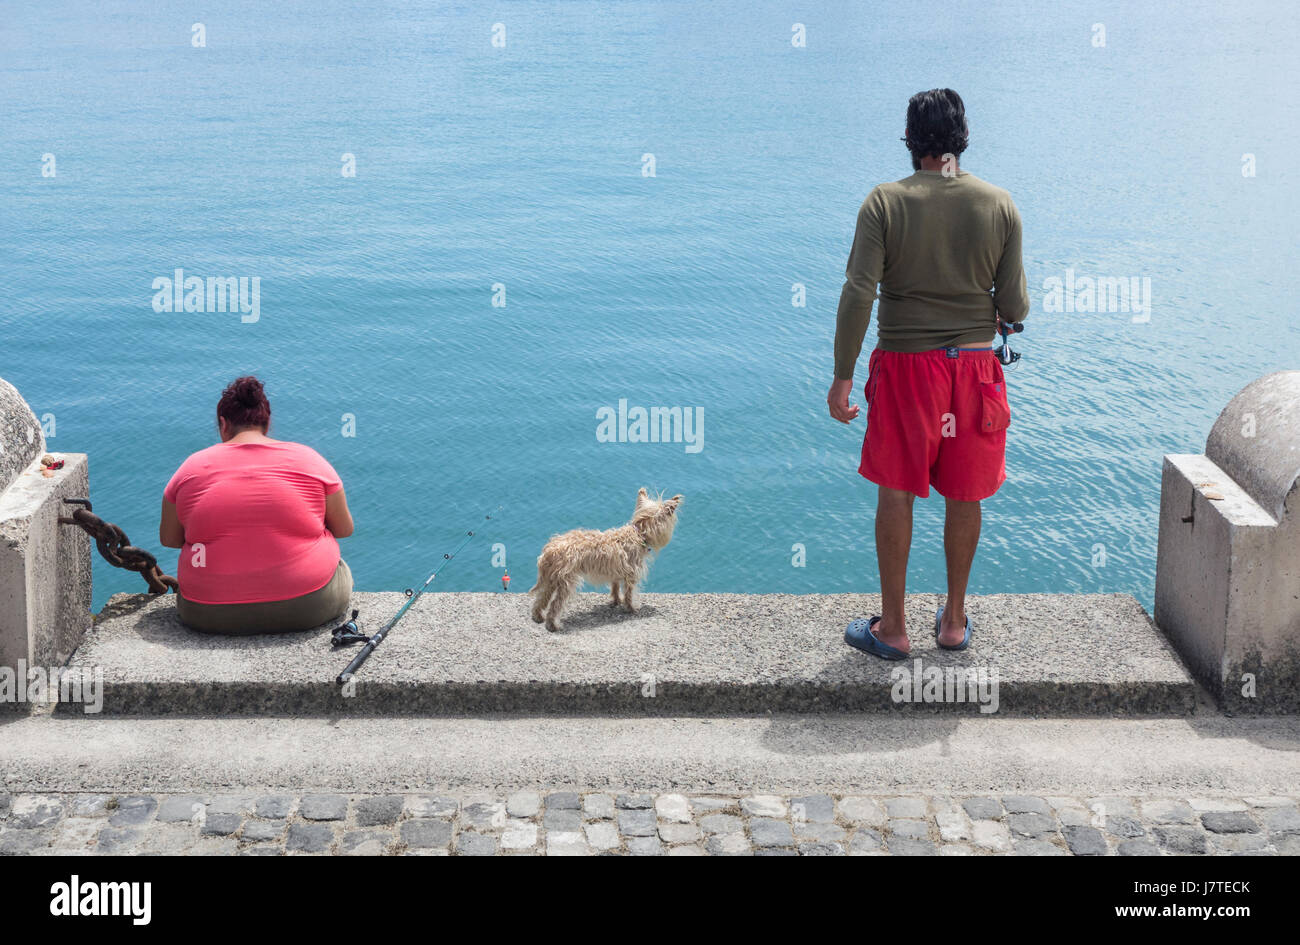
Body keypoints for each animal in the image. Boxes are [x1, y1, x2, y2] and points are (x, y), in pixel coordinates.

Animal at [525, 491, 681, 631]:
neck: (638, 533)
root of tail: (550, 550)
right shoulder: (631, 574)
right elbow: (629, 593)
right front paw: (631, 608)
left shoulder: (616, 571)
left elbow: (615, 587)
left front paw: (617, 601)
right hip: (566, 582)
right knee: (555, 605)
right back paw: (553, 625)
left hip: (552, 579)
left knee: (541, 599)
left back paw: (538, 616)